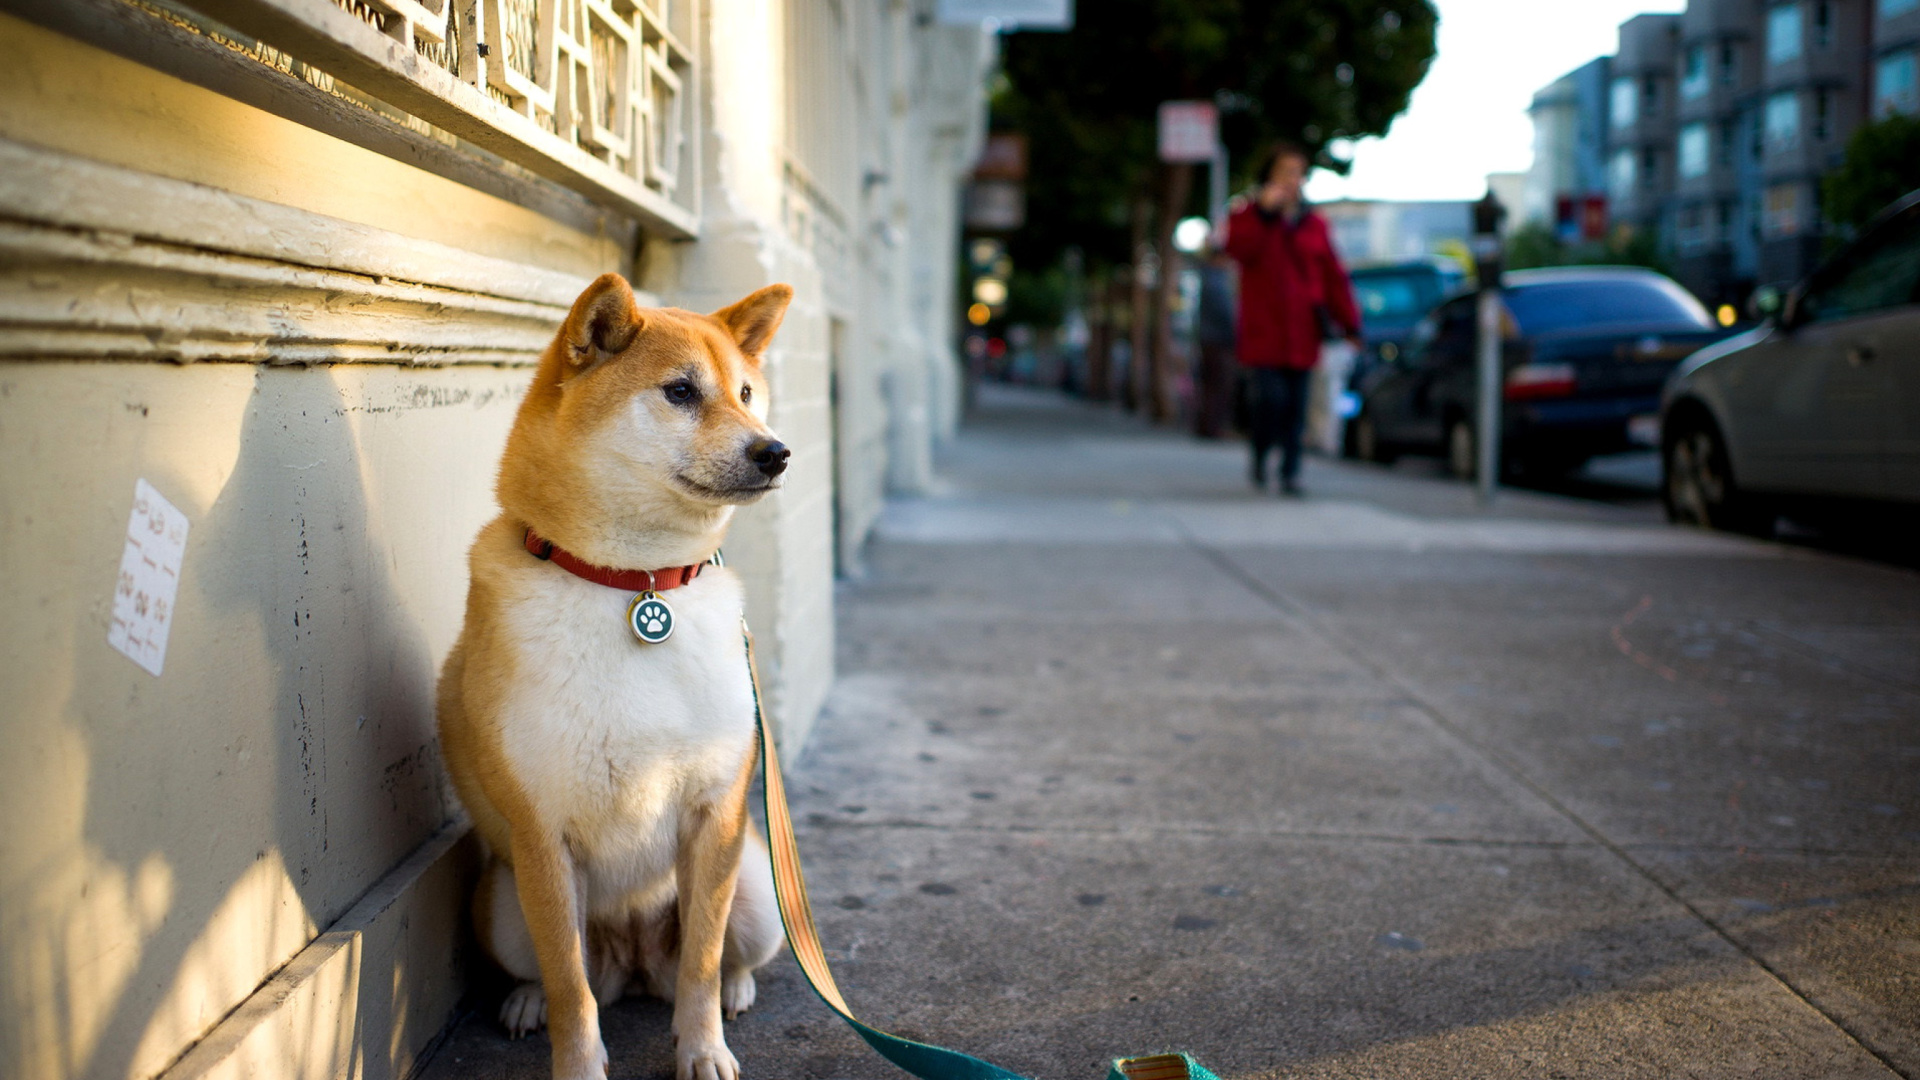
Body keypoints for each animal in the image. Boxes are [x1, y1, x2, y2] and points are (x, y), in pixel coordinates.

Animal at [437, 270, 794, 1076]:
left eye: (746, 392)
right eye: (681, 391)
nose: (776, 452)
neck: (637, 585)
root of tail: (632, 962)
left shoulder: (714, 817)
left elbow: (700, 960)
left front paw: (702, 1049)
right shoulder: (542, 837)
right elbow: (570, 985)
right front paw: (577, 1062)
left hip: (758, 888)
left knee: (719, 957)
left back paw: (737, 989)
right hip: (499, 902)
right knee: (556, 972)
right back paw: (526, 1002)